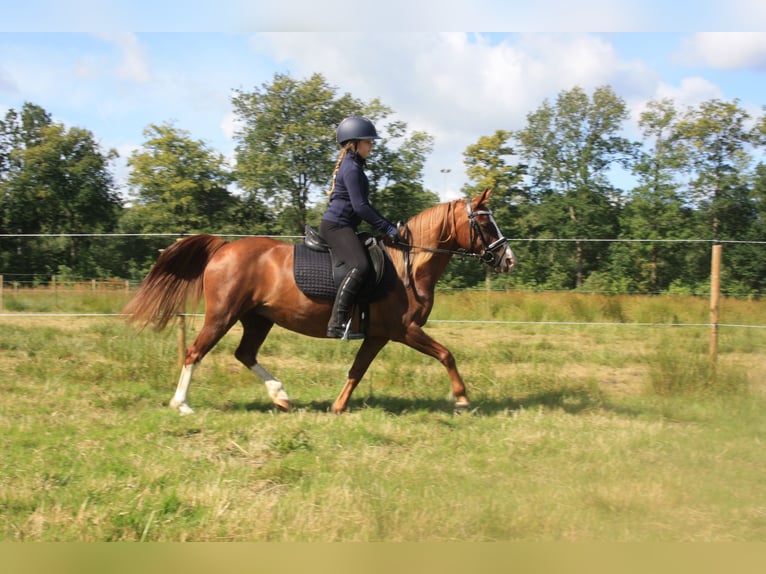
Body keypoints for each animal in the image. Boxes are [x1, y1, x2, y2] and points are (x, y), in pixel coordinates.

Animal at [123, 189, 516, 414]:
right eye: (485, 224)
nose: (508, 259)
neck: (409, 263)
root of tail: (224, 247)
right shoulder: (405, 330)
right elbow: (447, 354)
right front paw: (461, 397)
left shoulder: (379, 335)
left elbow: (357, 370)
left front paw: (338, 407)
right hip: (222, 315)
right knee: (195, 352)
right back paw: (181, 404)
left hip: (258, 318)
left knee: (244, 353)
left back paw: (280, 396)